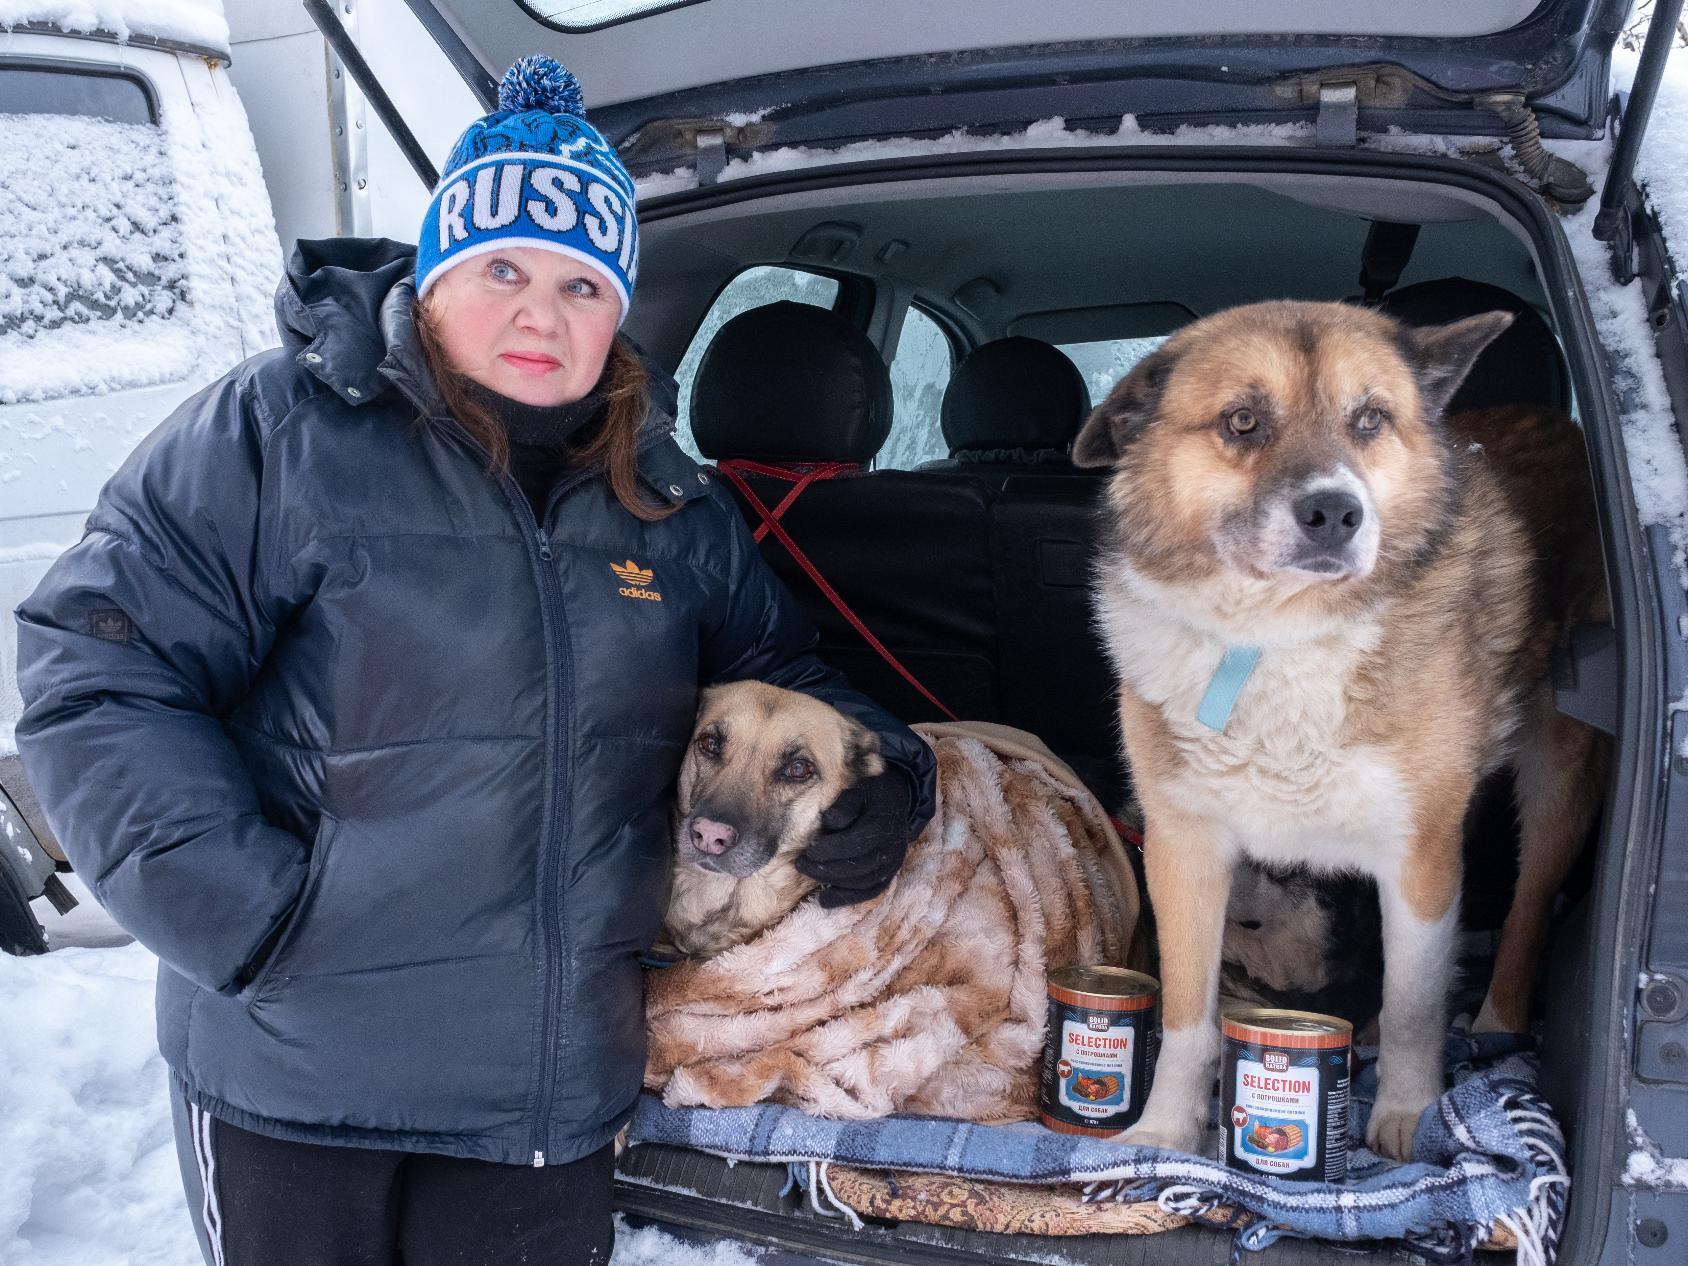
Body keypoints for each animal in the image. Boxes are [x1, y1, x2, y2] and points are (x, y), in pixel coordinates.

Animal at [1073, 300, 1600, 1161]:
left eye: (1371, 419)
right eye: (1243, 421)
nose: (1335, 512)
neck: (1270, 638)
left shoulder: (1419, 851)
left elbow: (1417, 999)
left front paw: (1409, 1112)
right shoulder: (1185, 848)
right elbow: (1186, 1016)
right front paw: (1165, 1129)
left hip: (1557, 774)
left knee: (1525, 911)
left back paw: (1493, 1023)